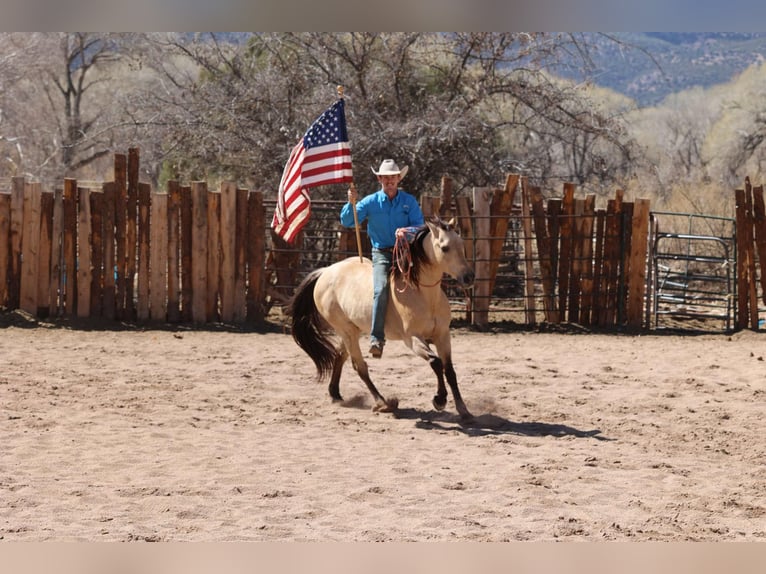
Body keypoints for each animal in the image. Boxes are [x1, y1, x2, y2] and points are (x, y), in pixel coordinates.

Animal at [288, 218, 476, 420]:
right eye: (445, 247)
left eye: (461, 244)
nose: (469, 277)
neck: (423, 294)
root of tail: (325, 272)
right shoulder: (412, 338)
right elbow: (436, 362)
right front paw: (439, 400)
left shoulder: (443, 335)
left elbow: (449, 370)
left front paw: (463, 409)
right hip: (345, 329)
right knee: (359, 366)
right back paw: (383, 402)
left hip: (354, 329)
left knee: (340, 355)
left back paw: (336, 394)